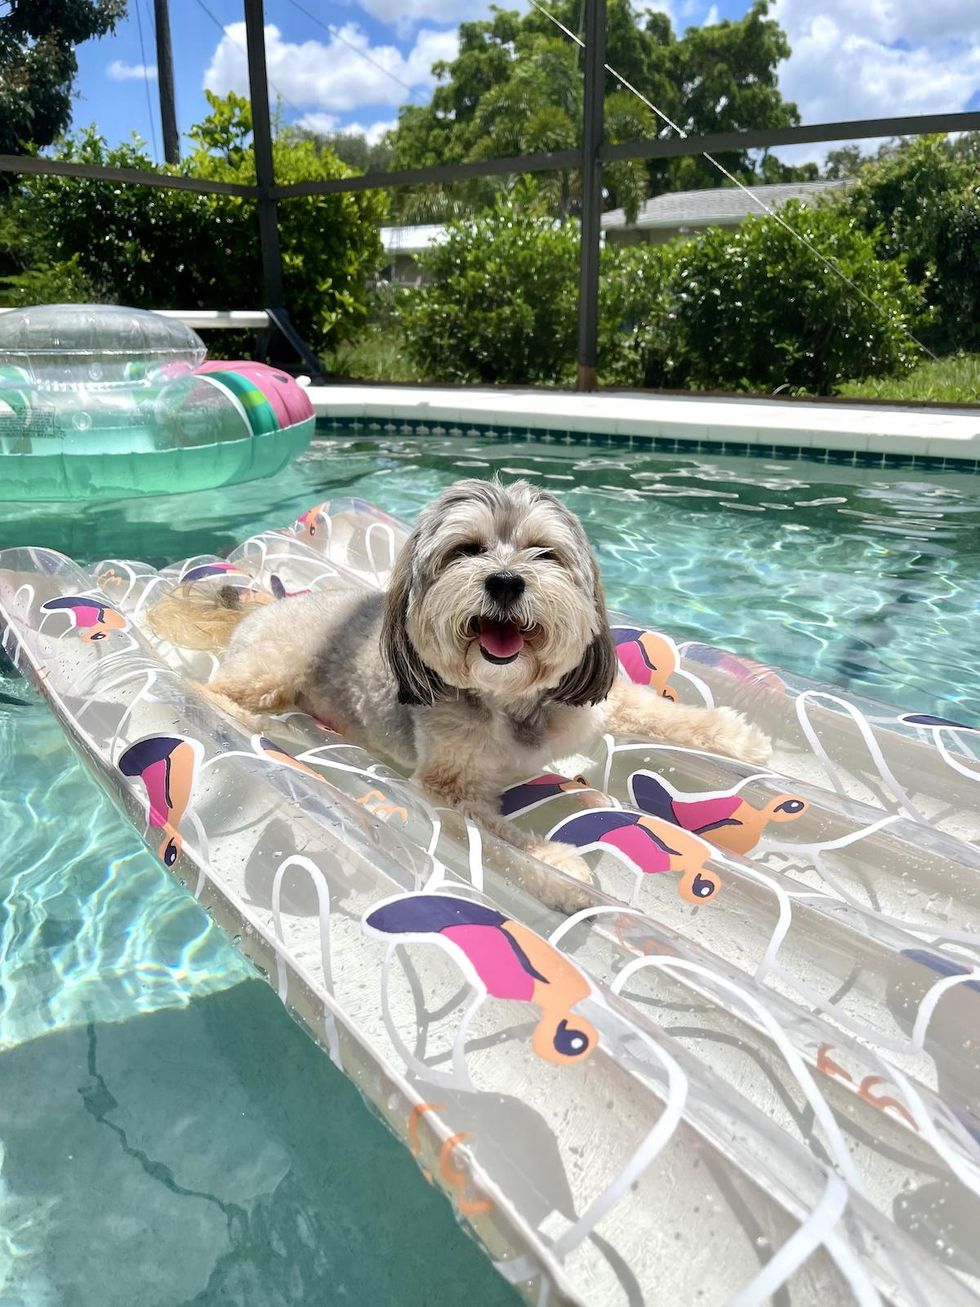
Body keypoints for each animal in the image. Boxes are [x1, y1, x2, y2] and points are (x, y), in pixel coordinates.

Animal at [149, 480, 773, 909]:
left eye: (544, 552)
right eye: (466, 550)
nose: (505, 581)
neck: (513, 700)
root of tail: (262, 608)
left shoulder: (596, 701)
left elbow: (662, 713)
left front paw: (739, 739)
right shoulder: (448, 790)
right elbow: (500, 838)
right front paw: (558, 866)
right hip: (275, 667)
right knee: (216, 691)